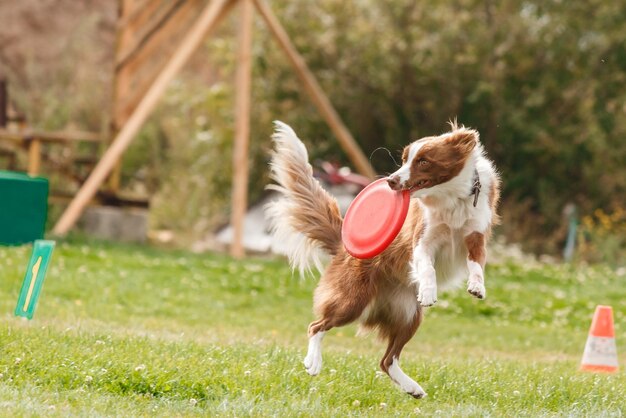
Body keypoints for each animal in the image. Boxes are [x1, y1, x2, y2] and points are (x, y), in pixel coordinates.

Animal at [266, 121, 500, 398]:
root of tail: (343, 246)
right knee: (316, 326)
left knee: (387, 360)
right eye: (404, 159)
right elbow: (427, 267)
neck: (452, 196)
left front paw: (477, 286)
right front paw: (429, 291)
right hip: (352, 301)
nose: (390, 181)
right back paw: (313, 362)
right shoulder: (421, 240)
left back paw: (412, 387)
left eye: (423, 161)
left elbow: (476, 264)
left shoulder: (476, 236)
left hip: (410, 316)